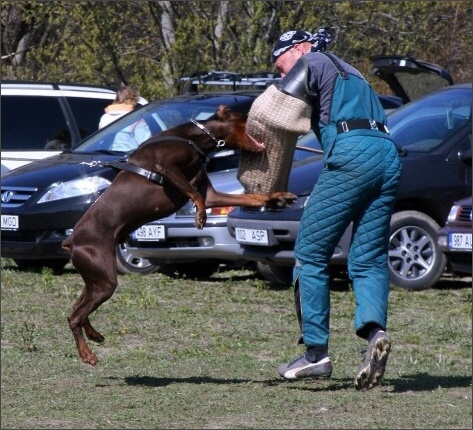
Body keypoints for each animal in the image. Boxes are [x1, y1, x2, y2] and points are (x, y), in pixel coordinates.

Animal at [61, 106, 296, 364]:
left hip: (94, 277)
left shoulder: (211, 193)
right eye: (244, 116)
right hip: (103, 278)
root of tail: (71, 240)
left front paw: (276, 197)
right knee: (75, 316)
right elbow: (195, 194)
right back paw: (87, 354)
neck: (194, 138)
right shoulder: (167, 167)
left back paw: (94, 334)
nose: (255, 115)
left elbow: (245, 197)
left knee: (77, 308)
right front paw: (200, 215)